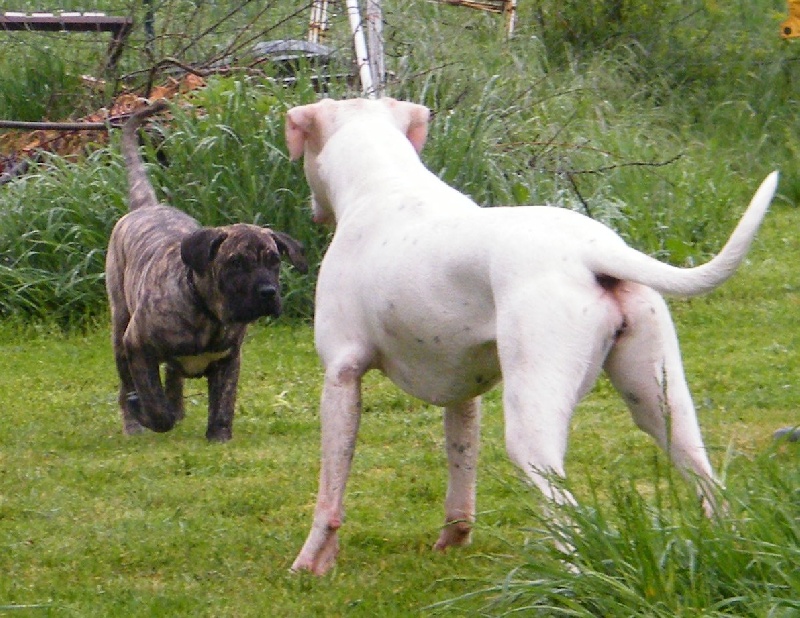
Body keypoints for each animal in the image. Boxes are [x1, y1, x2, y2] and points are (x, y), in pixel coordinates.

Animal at [106, 100, 306, 438]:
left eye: (274, 261)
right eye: (235, 263)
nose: (268, 292)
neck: (208, 312)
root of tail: (147, 206)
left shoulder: (229, 359)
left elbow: (223, 402)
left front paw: (219, 437)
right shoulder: (137, 344)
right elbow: (152, 400)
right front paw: (150, 415)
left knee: (172, 377)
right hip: (120, 327)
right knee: (127, 385)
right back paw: (134, 423)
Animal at [284, 96, 780, 572]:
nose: (313, 212)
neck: (384, 182)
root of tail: (593, 250)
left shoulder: (341, 377)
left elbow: (330, 493)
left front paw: (312, 561)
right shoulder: (463, 396)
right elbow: (461, 476)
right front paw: (452, 541)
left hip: (532, 427)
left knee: (564, 510)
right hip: (660, 404)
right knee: (706, 480)